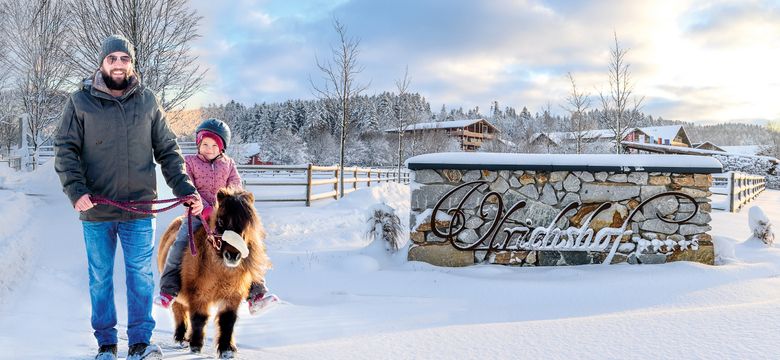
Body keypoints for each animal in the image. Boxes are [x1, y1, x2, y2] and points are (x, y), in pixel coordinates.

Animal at [155, 187, 272, 358]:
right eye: (221, 222)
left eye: (247, 224)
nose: (233, 255)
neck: (221, 272)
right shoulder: (198, 295)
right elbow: (199, 318)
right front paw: (196, 346)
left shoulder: (232, 296)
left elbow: (227, 321)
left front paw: (226, 349)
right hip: (177, 295)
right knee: (179, 311)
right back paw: (181, 338)